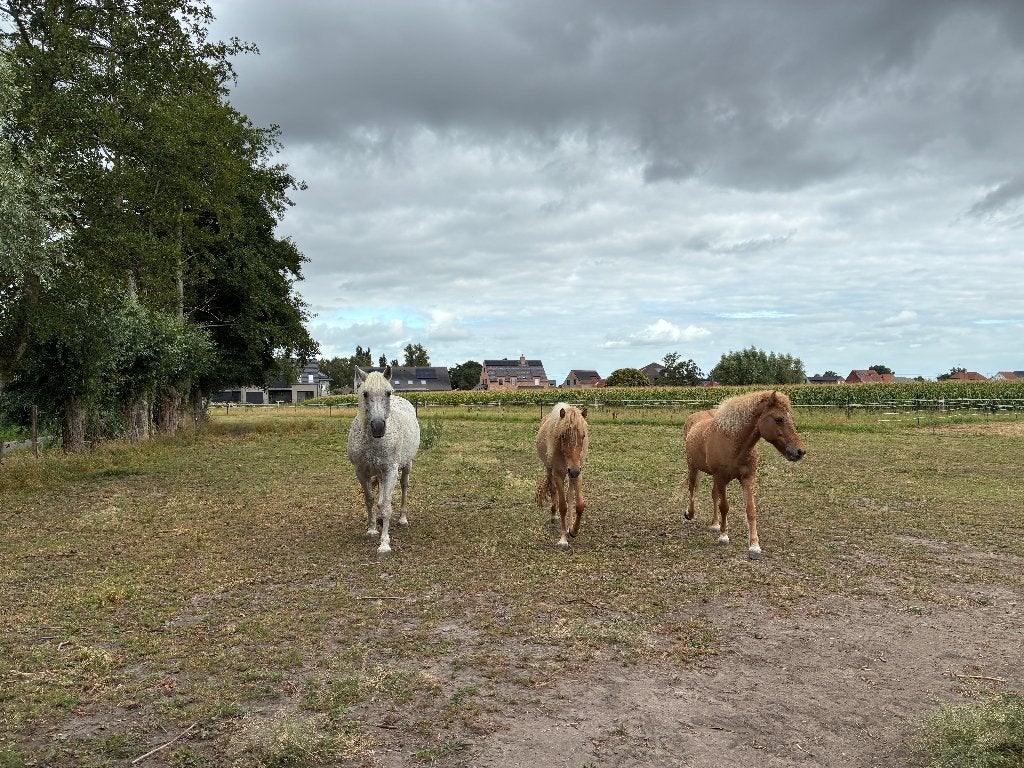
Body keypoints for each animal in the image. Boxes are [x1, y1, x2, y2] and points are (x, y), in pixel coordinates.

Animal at [347, 366, 420, 557]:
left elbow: (386, 505)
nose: (378, 427)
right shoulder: (361, 471)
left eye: (388, 393)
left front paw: (385, 544)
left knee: (404, 486)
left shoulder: (390, 470)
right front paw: (372, 529)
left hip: (406, 465)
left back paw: (402, 519)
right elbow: (370, 499)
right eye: (365, 393)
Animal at [535, 403, 589, 549]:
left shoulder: (578, 473)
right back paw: (554, 516)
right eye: (563, 435)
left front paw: (574, 530)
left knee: (570, 496)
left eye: (583, 435)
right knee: (553, 490)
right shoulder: (558, 474)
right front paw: (563, 539)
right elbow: (563, 506)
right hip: (550, 470)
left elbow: (579, 504)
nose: (574, 471)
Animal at [684, 390, 805, 560]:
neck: (734, 443)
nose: (800, 451)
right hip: (693, 467)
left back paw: (715, 524)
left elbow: (750, 510)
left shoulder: (747, 478)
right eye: (778, 419)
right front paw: (724, 537)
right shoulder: (721, 478)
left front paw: (754, 546)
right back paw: (690, 513)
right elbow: (724, 507)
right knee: (692, 488)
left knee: (713, 495)